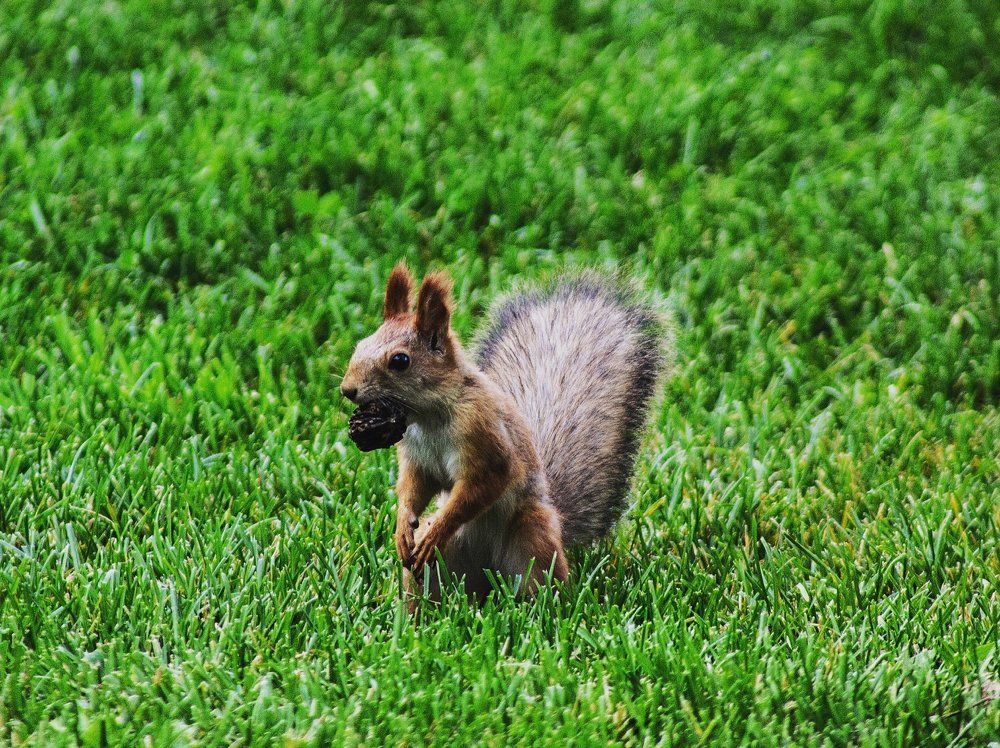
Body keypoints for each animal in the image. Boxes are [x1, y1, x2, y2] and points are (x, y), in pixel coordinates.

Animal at [341, 262, 671, 600]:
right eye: (361, 344)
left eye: (400, 360)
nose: (347, 390)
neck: (429, 416)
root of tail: (485, 578)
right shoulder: (418, 457)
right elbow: (413, 487)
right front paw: (402, 528)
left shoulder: (484, 435)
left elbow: (485, 483)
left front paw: (437, 530)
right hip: (441, 566)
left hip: (532, 540)